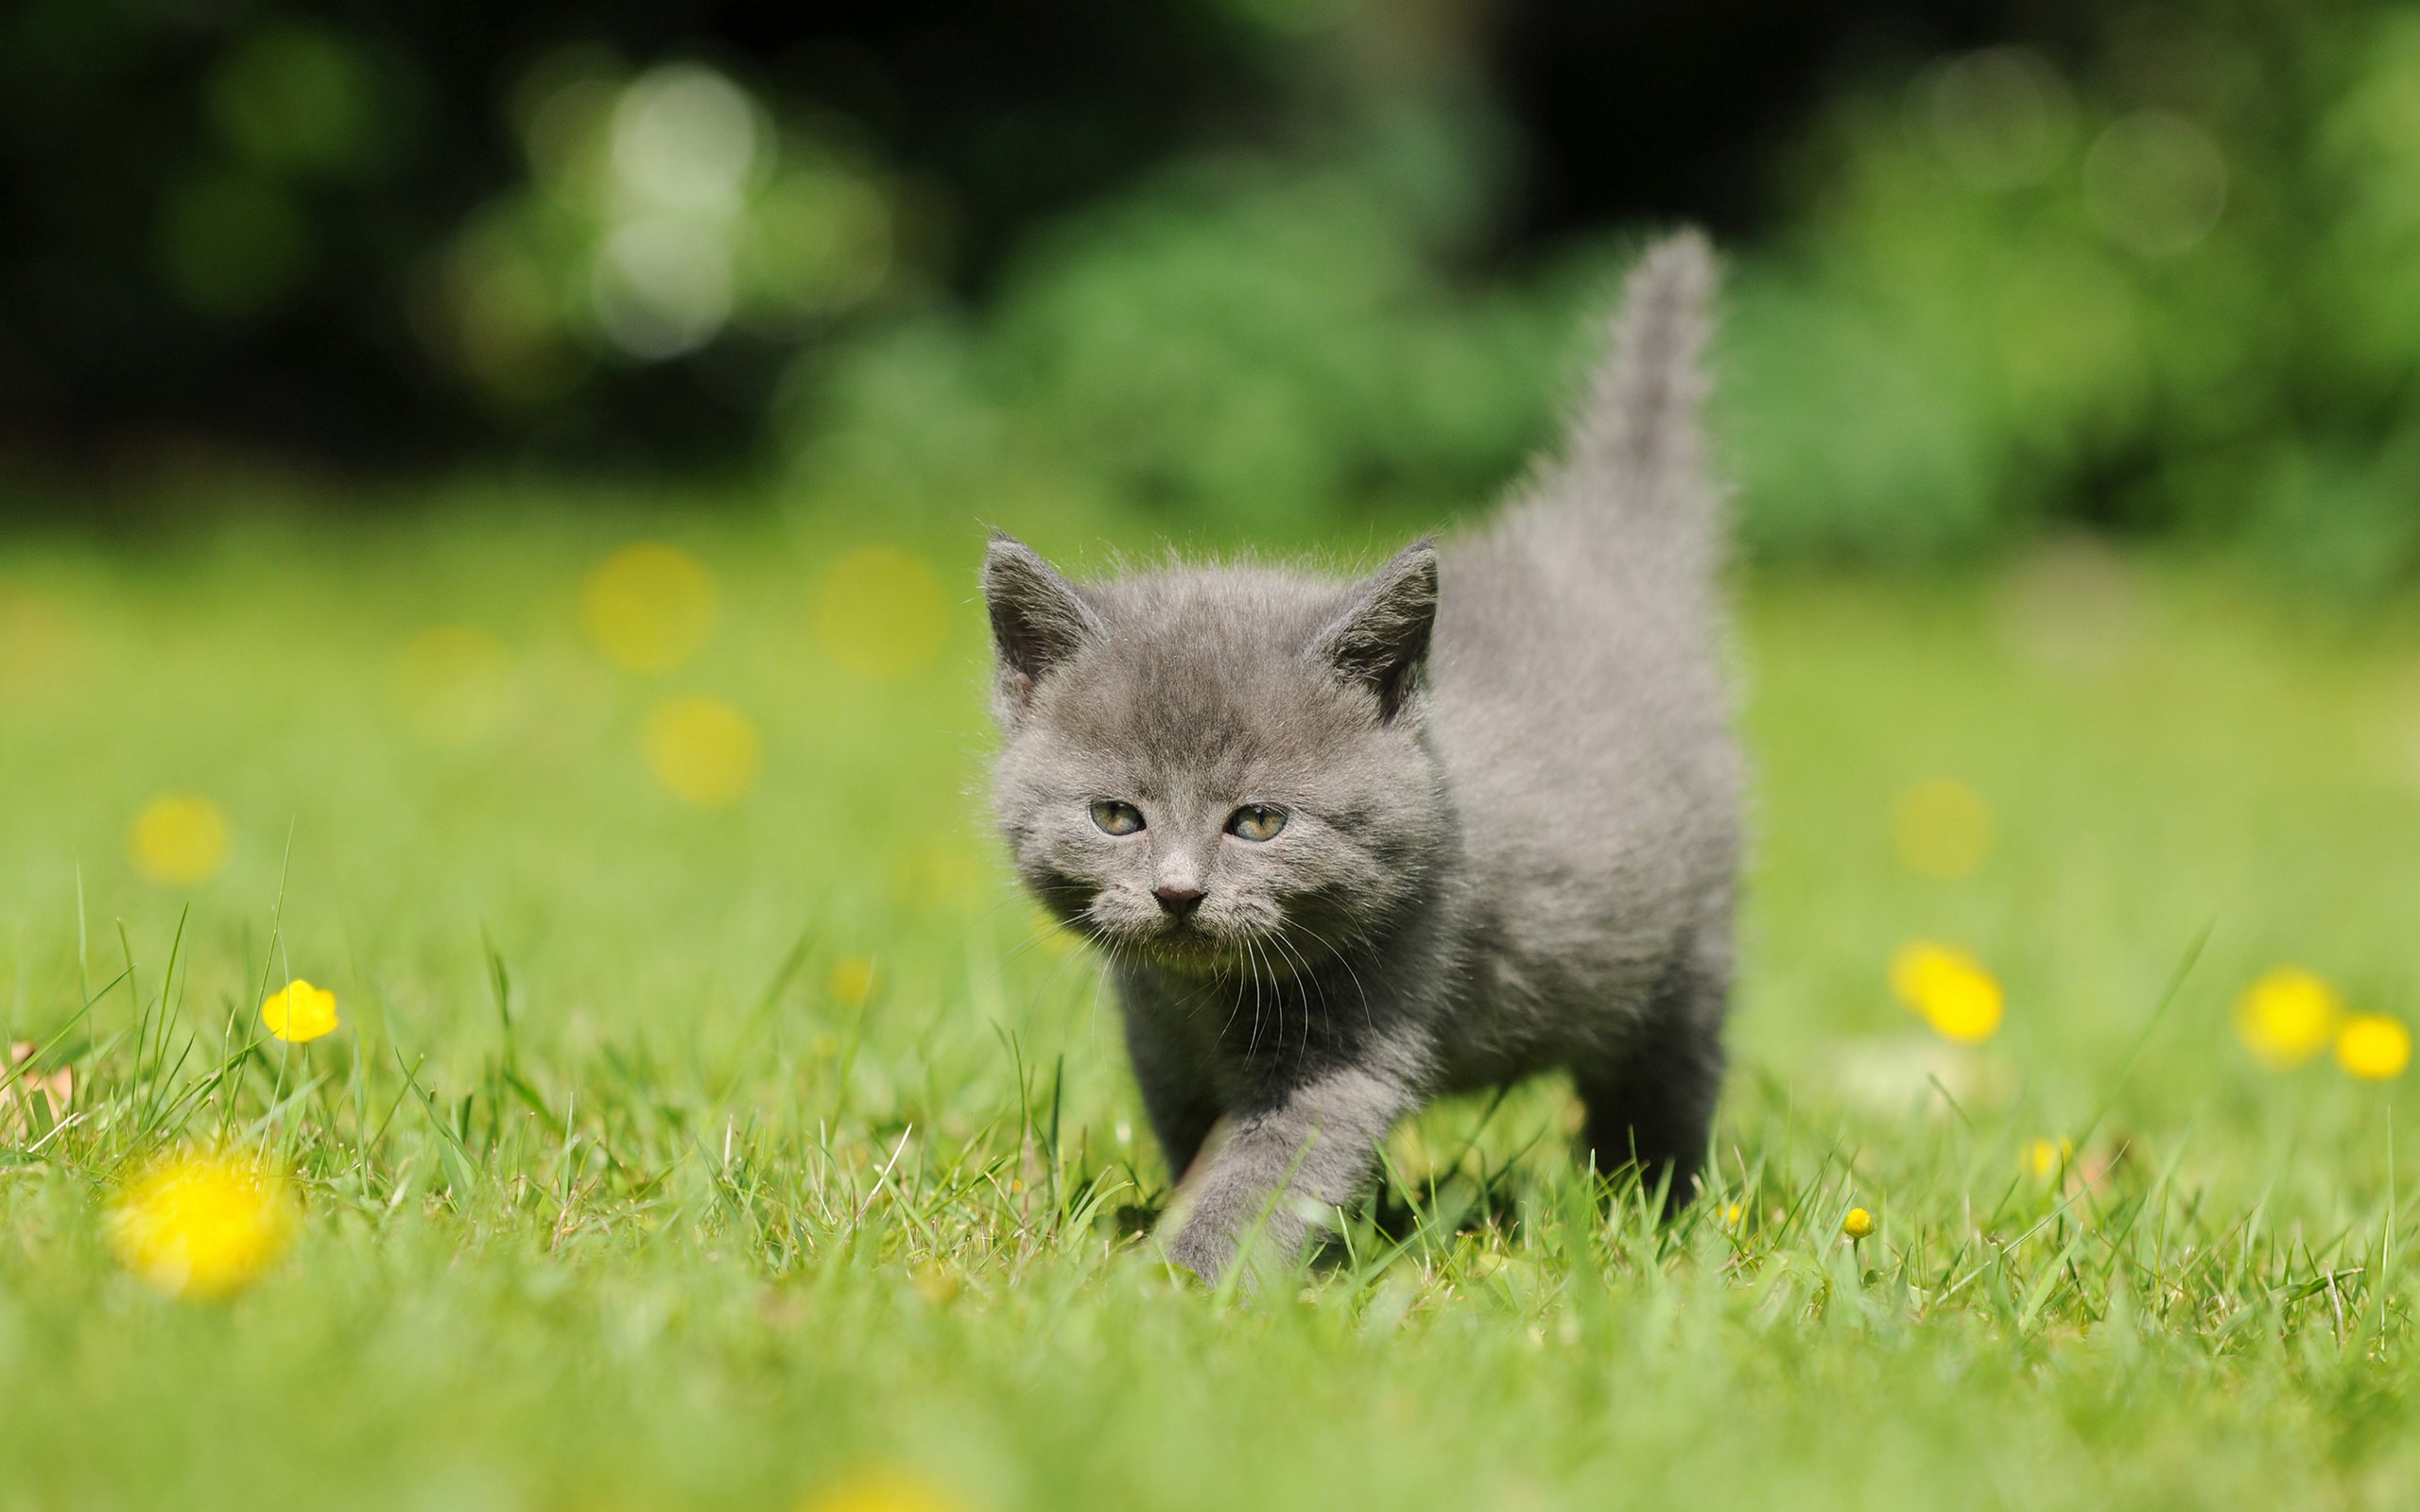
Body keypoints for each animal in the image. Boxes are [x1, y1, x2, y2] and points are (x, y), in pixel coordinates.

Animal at [982, 230, 1742, 1277]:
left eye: (1260, 821)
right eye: (1115, 816)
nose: (1178, 892)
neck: (1207, 999)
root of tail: (1594, 552)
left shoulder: (1359, 1025)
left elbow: (1268, 1171)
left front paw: (1178, 1283)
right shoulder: (1158, 1039)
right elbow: (1197, 1142)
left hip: (1687, 949)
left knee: (1668, 1077)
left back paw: (1659, 1209)